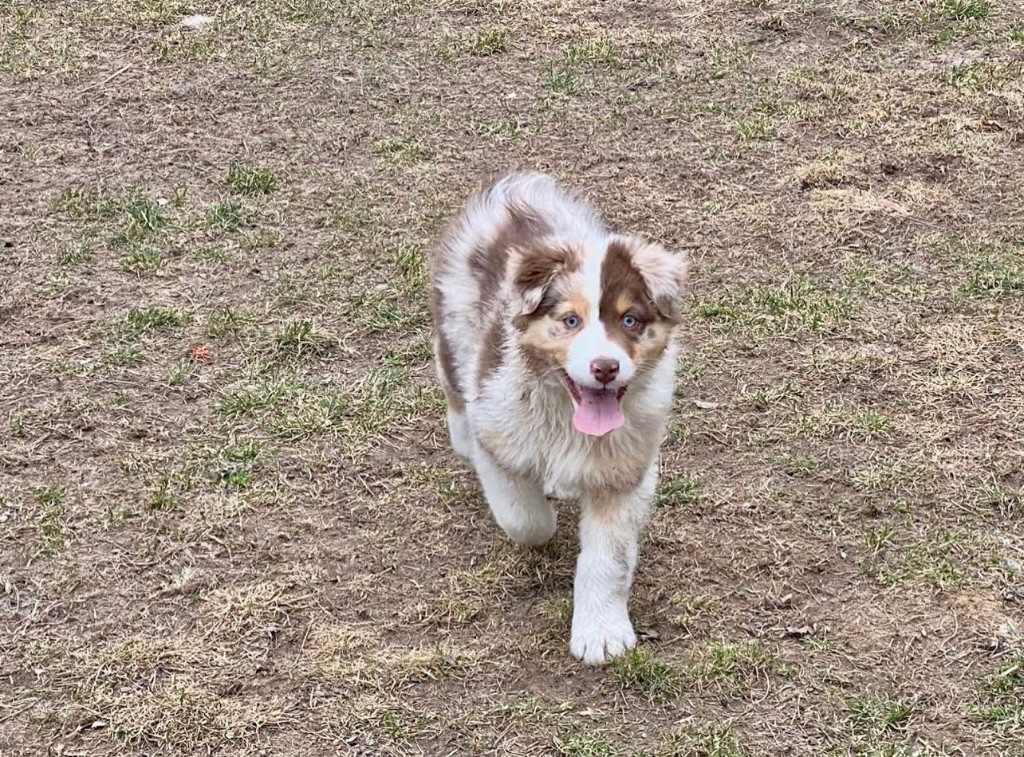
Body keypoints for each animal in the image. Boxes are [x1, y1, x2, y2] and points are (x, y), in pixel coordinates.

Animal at [428, 172, 684, 663]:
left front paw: (601, 635)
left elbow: (608, 560)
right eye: (570, 321)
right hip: (453, 322)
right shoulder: (499, 434)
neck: (568, 415)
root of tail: (514, 195)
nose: (605, 367)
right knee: (451, 376)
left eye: (630, 320)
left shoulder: (625, 472)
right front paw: (545, 518)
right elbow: (525, 520)